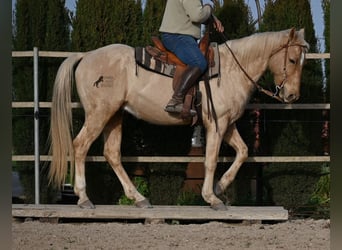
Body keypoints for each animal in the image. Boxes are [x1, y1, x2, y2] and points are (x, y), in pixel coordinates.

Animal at [49, 27, 308, 211]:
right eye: (293, 60)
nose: (292, 95)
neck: (232, 69)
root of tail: (86, 56)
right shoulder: (217, 124)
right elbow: (210, 160)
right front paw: (212, 198)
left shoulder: (228, 124)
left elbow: (243, 152)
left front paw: (220, 187)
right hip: (99, 114)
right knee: (80, 146)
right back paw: (84, 198)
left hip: (114, 116)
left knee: (112, 153)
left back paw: (139, 198)